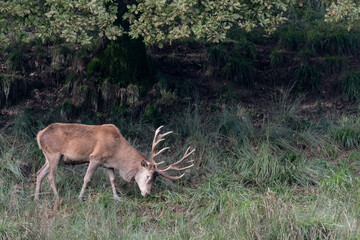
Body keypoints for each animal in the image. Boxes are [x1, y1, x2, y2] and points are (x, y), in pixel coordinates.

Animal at [35, 124, 195, 201]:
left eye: (155, 179)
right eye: (148, 176)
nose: (147, 194)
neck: (117, 153)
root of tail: (39, 134)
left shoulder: (109, 164)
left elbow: (112, 179)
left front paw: (117, 197)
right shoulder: (95, 157)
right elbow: (87, 178)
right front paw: (80, 197)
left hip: (49, 157)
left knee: (39, 173)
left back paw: (36, 198)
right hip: (54, 154)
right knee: (50, 176)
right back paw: (57, 196)